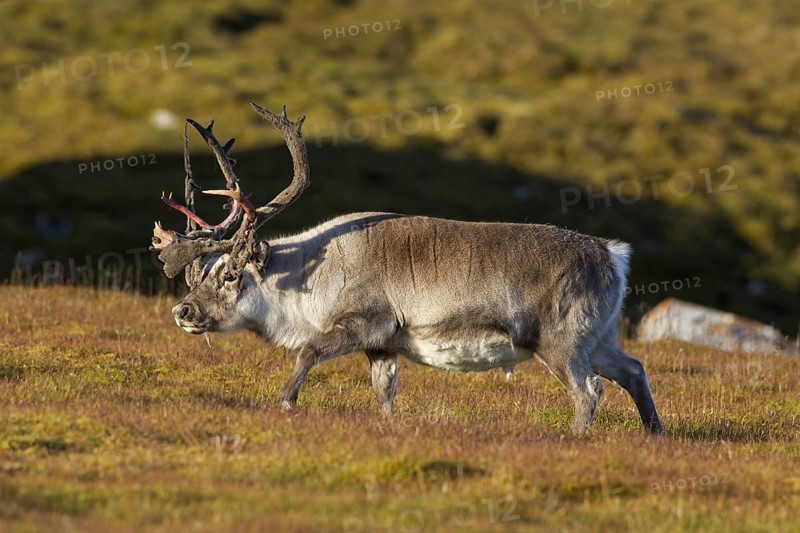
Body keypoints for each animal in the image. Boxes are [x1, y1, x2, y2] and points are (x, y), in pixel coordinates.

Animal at [150, 102, 664, 434]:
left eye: (230, 275)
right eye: (201, 273)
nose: (183, 312)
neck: (310, 277)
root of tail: (613, 255)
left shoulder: (362, 322)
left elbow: (308, 354)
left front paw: (285, 404)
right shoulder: (383, 346)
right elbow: (385, 395)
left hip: (560, 341)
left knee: (589, 391)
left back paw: (575, 438)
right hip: (599, 338)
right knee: (634, 369)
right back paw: (654, 434)